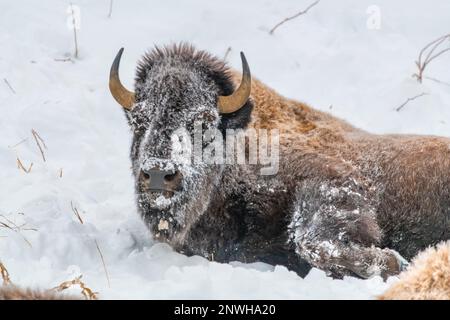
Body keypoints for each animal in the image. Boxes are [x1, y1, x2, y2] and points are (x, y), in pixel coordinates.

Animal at [108, 43, 450, 278]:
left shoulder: (335, 182)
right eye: (139, 120)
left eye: (204, 121)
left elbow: (310, 240)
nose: (158, 175)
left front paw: (397, 263)